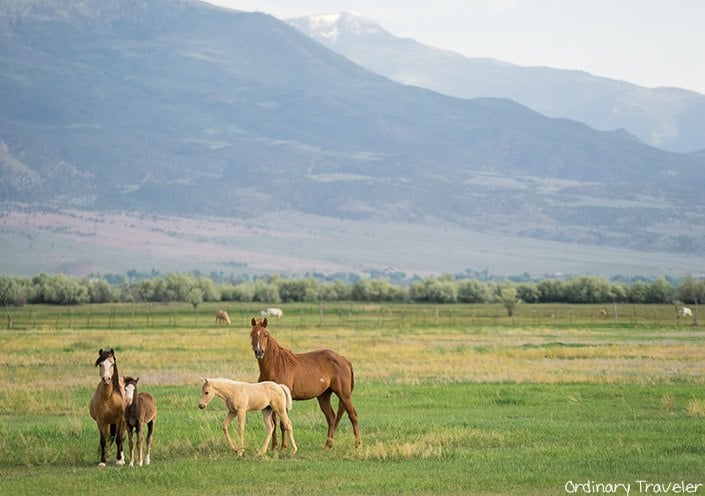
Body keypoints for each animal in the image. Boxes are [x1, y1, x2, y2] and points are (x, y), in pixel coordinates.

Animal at [249, 318, 360, 450]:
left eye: (266, 335)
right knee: (331, 418)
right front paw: (273, 447)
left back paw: (358, 445)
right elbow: (274, 424)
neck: (275, 366)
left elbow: (283, 424)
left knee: (353, 415)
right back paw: (328, 446)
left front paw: (283, 447)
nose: (259, 352)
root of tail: (343, 358)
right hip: (323, 396)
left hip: (344, 395)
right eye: (252, 334)